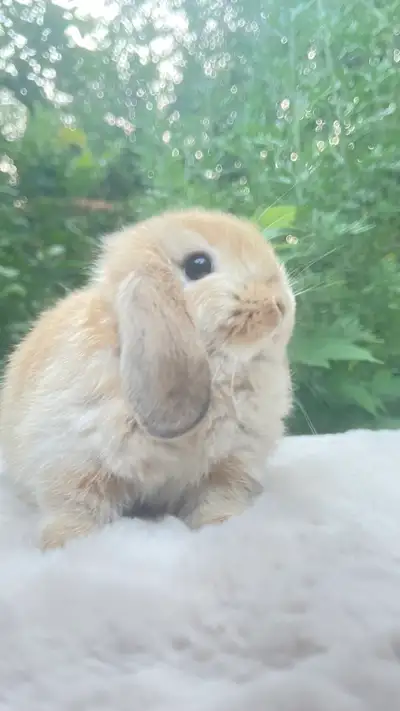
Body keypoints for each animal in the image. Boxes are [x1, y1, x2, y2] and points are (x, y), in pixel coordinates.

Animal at [0, 208, 296, 550]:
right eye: (198, 265)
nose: (280, 304)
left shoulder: (230, 466)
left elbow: (219, 501)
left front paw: (222, 527)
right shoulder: (73, 463)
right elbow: (75, 508)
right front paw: (63, 544)